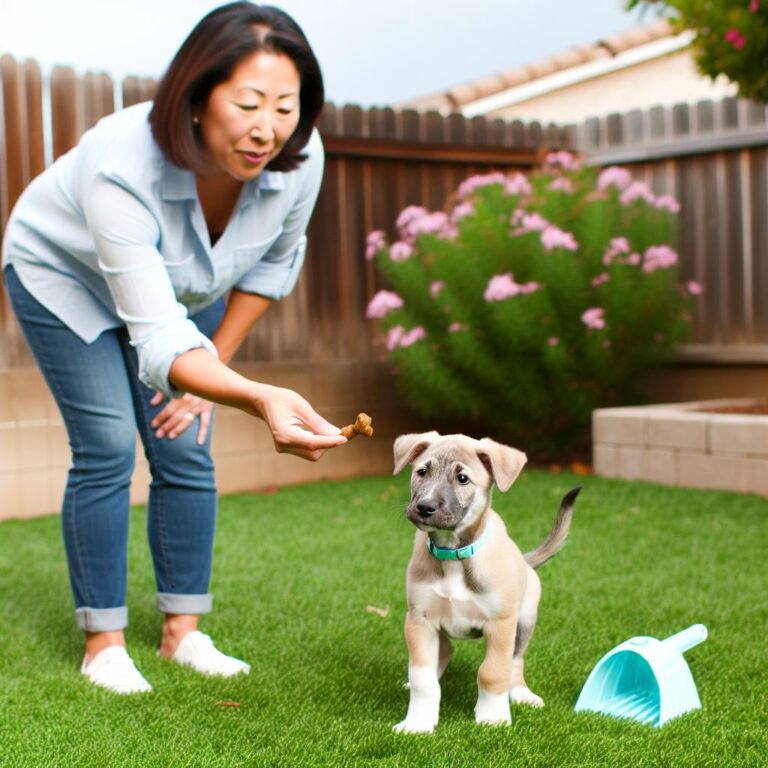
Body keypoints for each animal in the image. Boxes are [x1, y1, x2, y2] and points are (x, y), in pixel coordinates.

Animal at [392, 432, 580, 732]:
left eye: (463, 479)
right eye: (422, 472)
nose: (424, 507)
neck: (453, 556)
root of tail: (525, 561)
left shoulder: (501, 624)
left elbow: (492, 673)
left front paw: (492, 716)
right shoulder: (419, 620)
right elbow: (423, 679)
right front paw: (418, 722)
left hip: (524, 620)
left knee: (515, 662)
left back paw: (521, 693)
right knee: (444, 652)